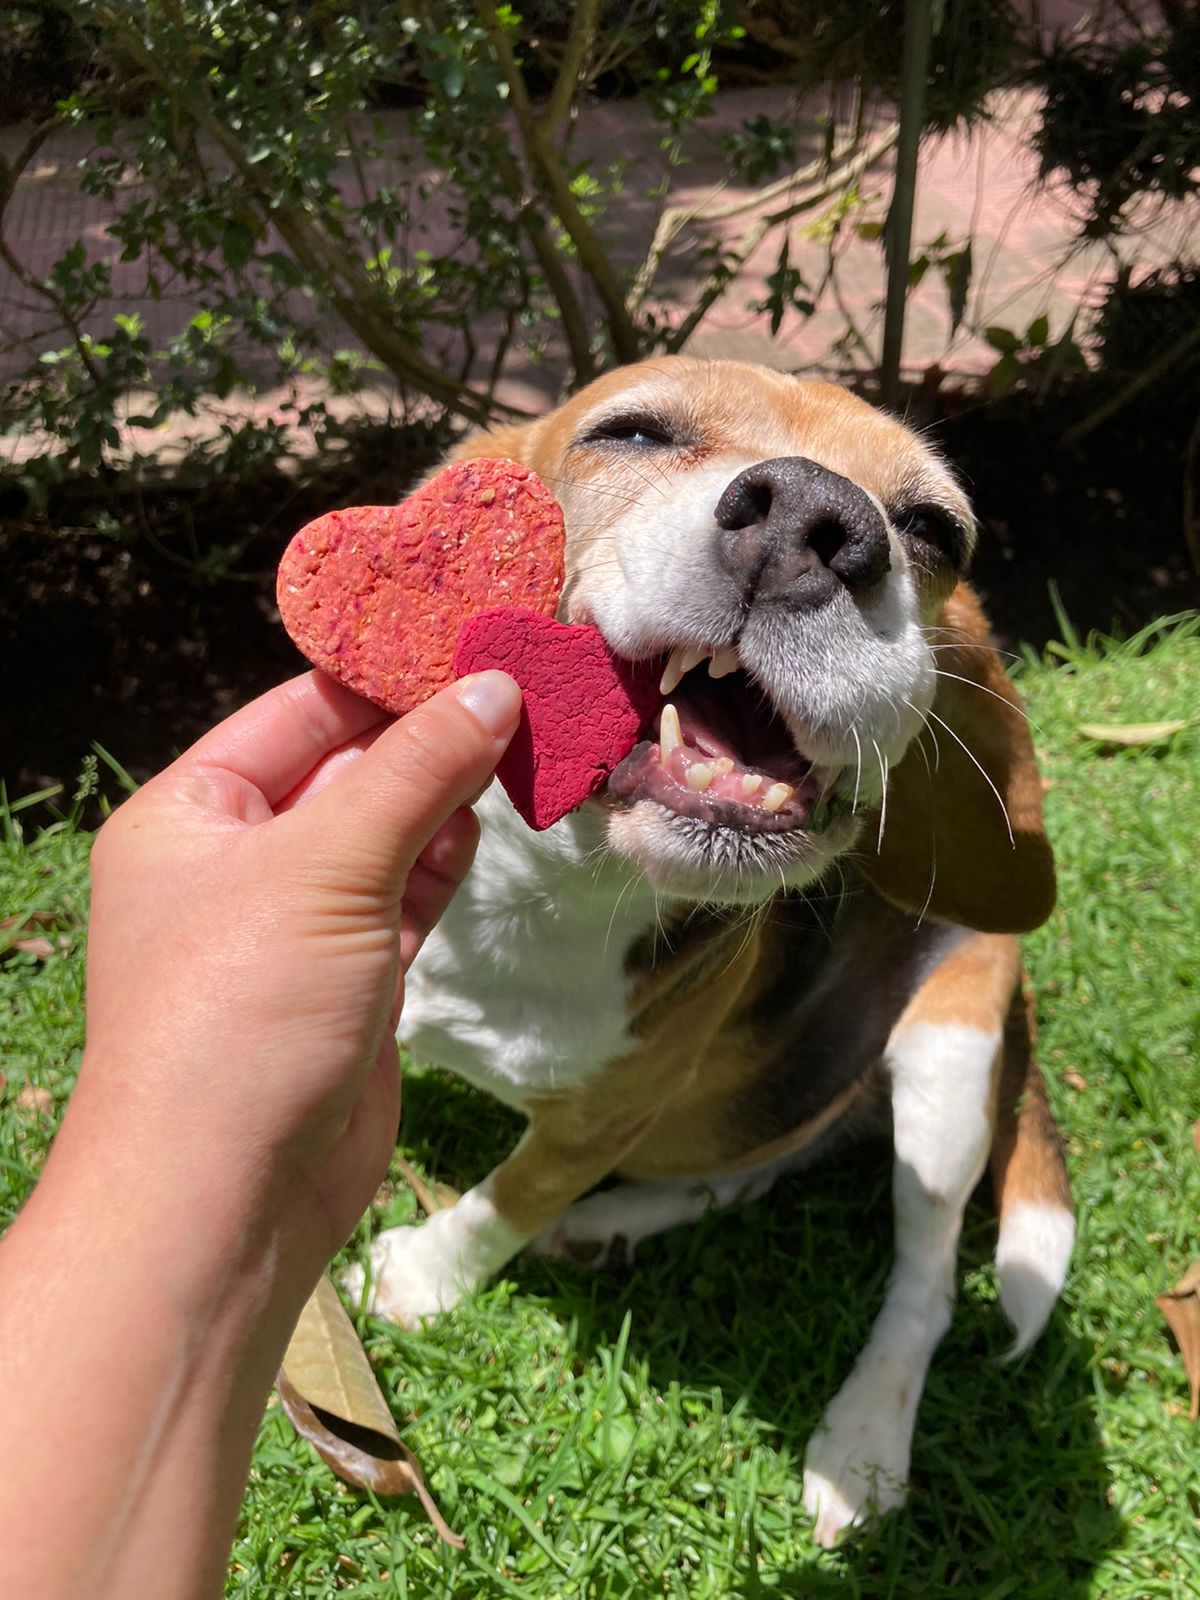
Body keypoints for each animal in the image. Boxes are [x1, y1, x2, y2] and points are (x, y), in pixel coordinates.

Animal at [345, 356, 1068, 1542]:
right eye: (633, 432)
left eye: (933, 529)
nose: (815, 520)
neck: (547, 902)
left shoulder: (592, 1124)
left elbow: (508, 1197)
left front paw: (419, 1276)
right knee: (751, 1167)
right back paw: (616, 1224)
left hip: (950, 1056)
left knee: (922, 1279)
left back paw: (864, 1441)